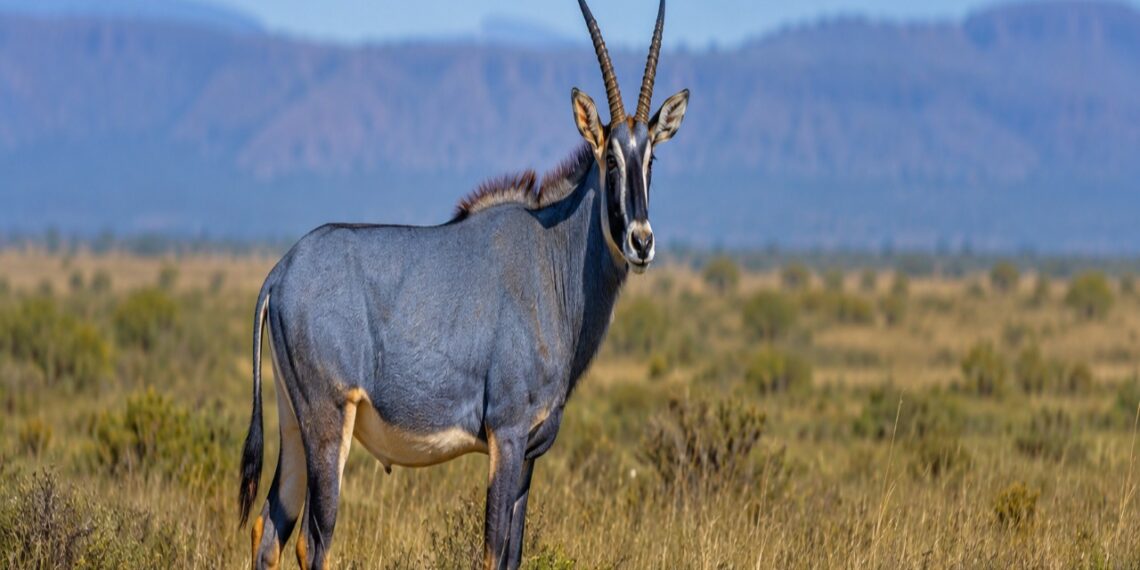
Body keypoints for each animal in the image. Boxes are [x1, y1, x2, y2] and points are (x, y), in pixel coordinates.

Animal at [237, 1, 688, 568]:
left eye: (651, 158)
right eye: (609, 157)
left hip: (293, 425)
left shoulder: (531, 451)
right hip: (326, 424)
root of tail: (281, 271)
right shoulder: (506, 436)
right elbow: (493, 551)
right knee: (311, 539)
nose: (641, 240)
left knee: (269, 527)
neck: (553, 256)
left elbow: (514, 552)